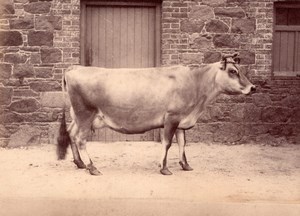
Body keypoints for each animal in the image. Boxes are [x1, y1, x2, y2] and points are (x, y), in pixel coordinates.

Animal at [56, 52, 255, 176]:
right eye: (232, 71)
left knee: (71, 133)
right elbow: (167, 143)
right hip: (85, 114)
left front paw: (185, 165)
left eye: (240, 70)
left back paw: (80, 163)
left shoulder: (181, 119)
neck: (195, 83)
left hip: (77, 116)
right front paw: (164, 168)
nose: (253, 87)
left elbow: (182, 143)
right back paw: (92, 167)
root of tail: (75, 68)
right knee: (80, 139)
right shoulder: (171, 118)